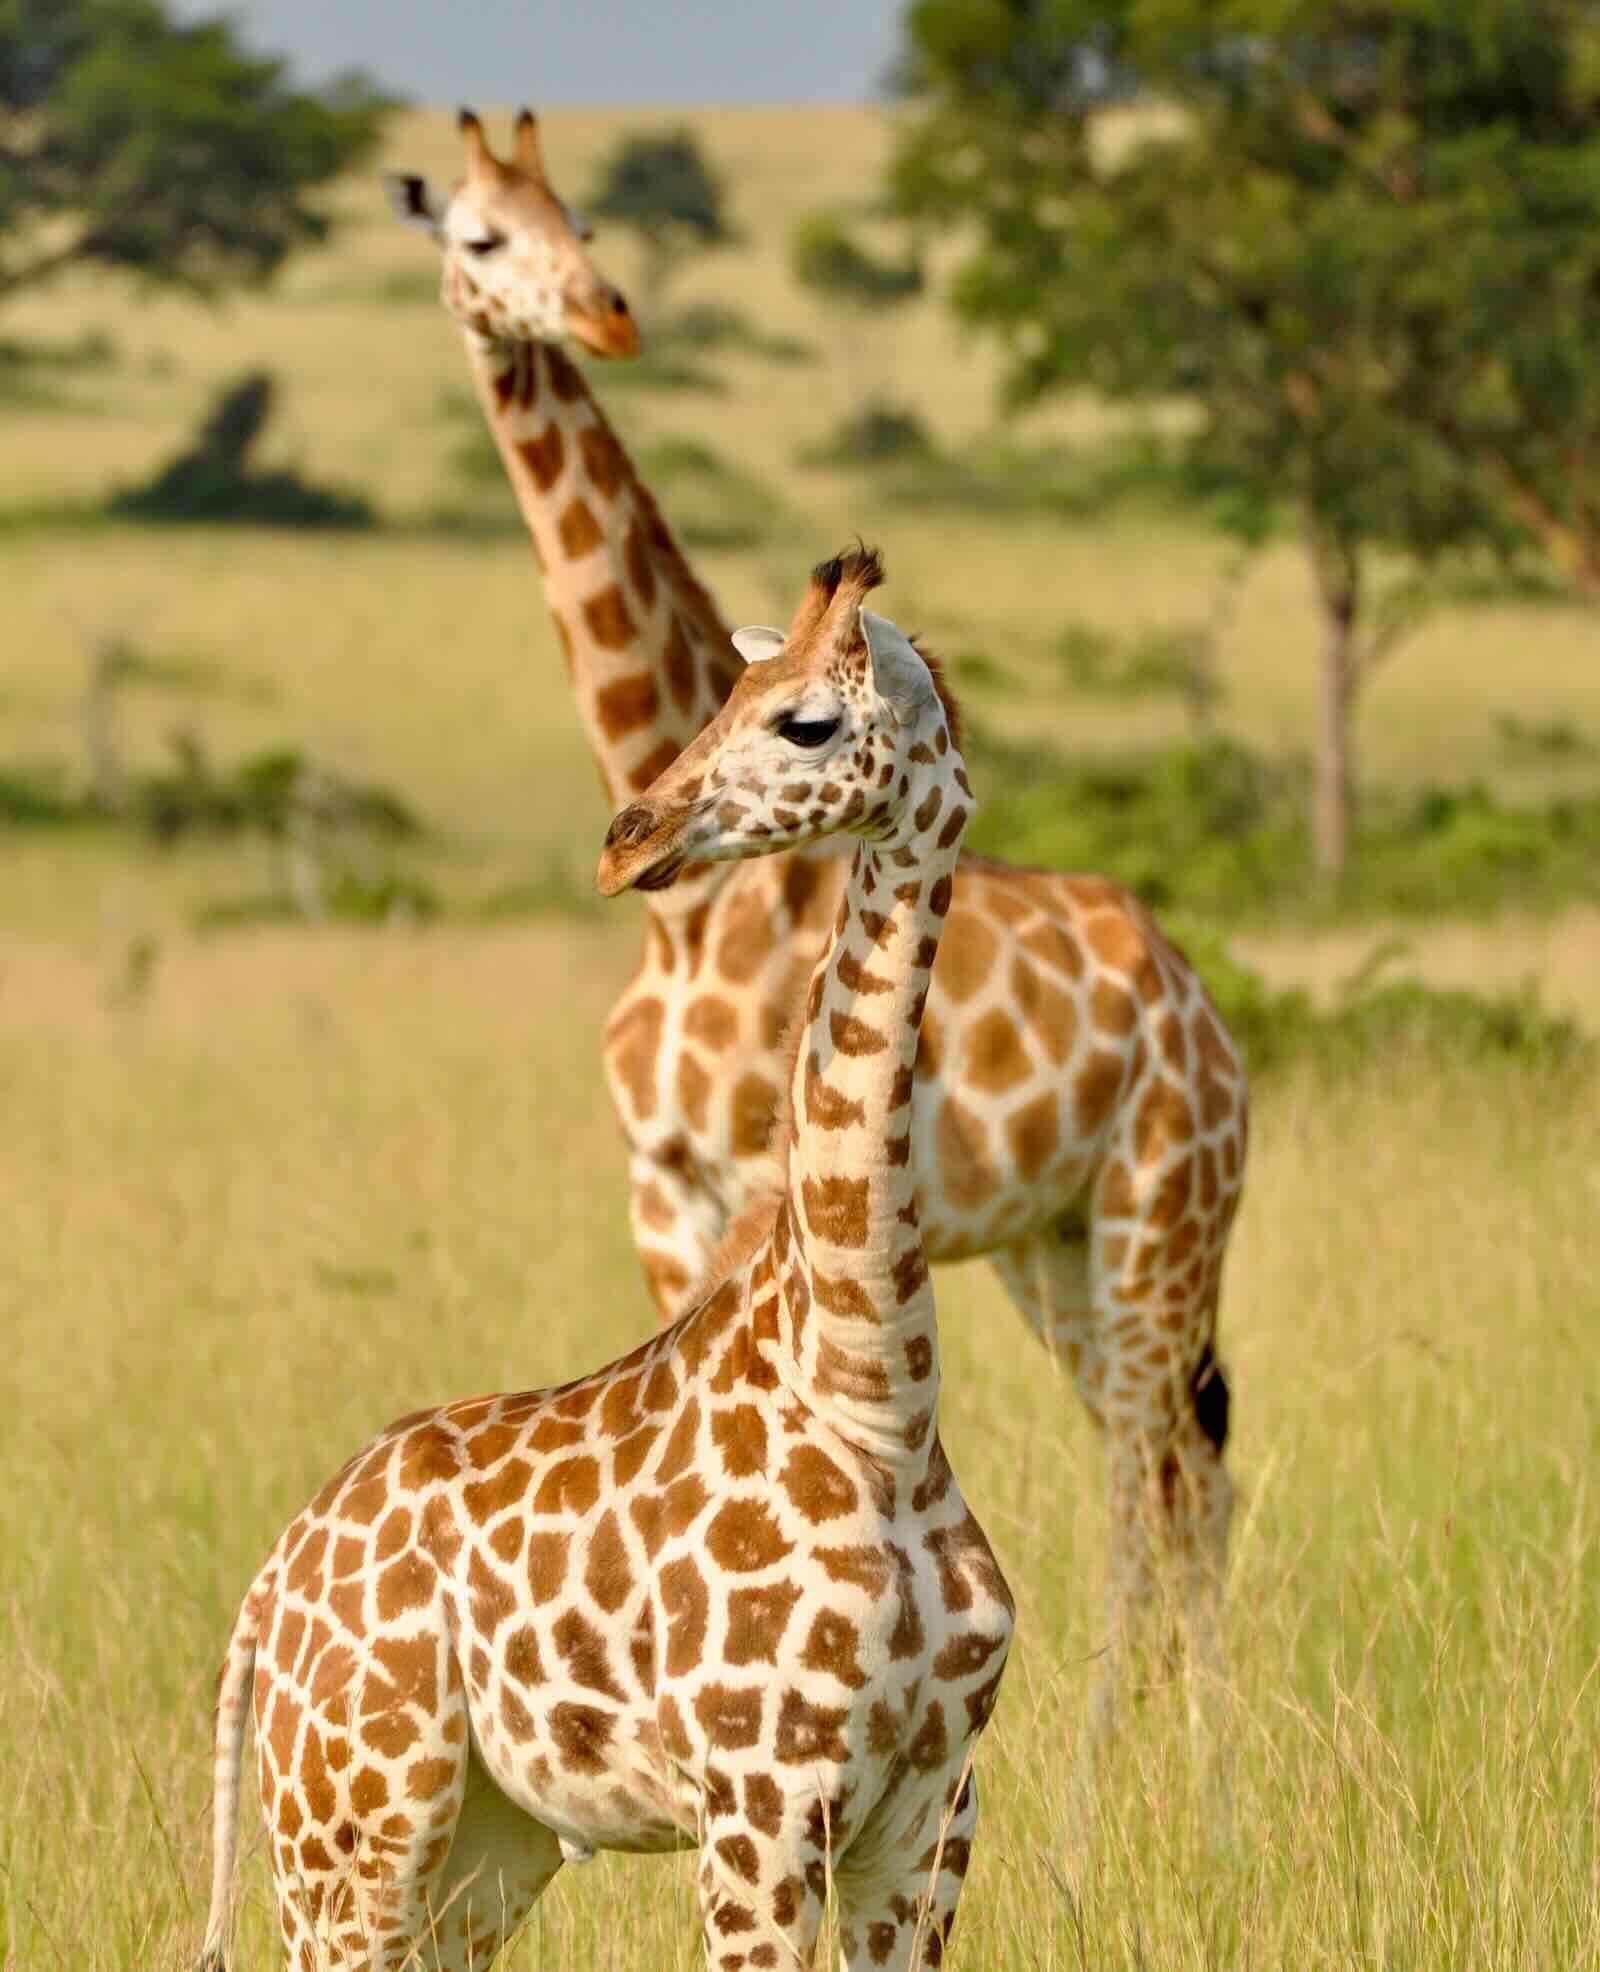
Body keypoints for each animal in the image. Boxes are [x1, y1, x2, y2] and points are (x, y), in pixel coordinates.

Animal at [197, 551, 1013, 1972]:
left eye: (806, 721)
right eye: (727, 692)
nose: (628, 838)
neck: (877, 1395)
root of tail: (272, 1586)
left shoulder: (929, 1816)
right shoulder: (759, 1801)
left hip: (484, 1848)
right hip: (347, 1830)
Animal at [388, 115, 1247, 1732]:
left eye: (574, 214)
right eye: (478, 236)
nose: (606, 313)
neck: (689, 923)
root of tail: (1202, 1006)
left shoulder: (743, 1180)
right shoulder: (661, 1191)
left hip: (1160, 1218)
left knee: (1151, 1466)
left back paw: (1128, 1738)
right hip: (1054, 1249)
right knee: (1185, 1471)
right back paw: (1191, 1727)